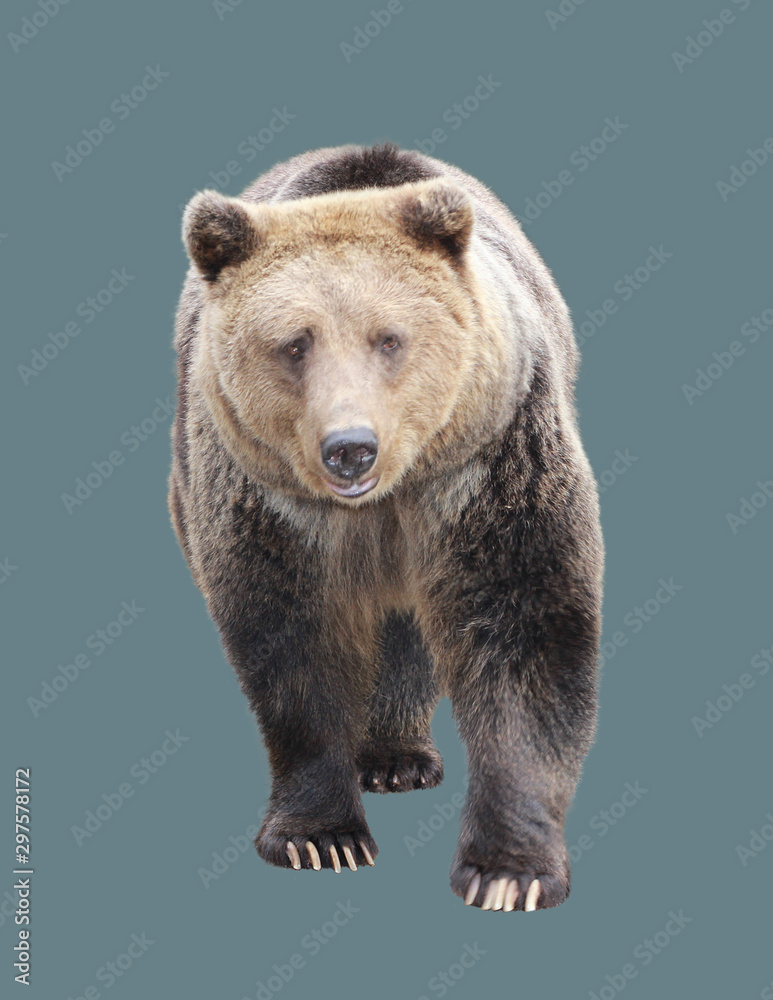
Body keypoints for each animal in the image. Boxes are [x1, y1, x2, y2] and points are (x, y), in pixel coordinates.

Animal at [169, 142, 603, 913]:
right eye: (294, 343)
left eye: (389, 339)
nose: (350, 448)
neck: (383, 499)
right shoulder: (271, 503)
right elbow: (293, 644)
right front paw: (321, 837)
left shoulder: (487, 466)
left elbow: (525, 625)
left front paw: (507, 871)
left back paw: (398, 756)